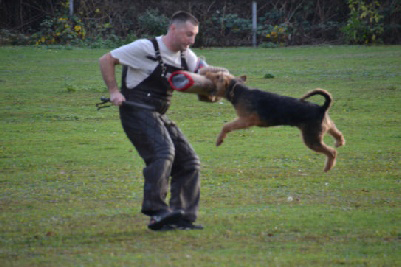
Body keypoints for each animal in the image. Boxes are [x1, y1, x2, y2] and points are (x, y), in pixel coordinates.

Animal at [205, 71, 346, 172]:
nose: (205, 75)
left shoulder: (246, 120)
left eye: (217, 76)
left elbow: (226, 126)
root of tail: (322, 108)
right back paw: (339, 143)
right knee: (337, 134)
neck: (238, 91)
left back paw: (327, 168)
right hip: (325, 127)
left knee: (332, 152)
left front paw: (219, 140)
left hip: (312, 139)